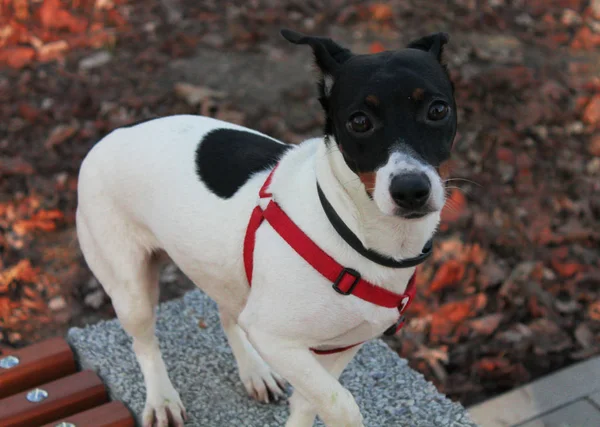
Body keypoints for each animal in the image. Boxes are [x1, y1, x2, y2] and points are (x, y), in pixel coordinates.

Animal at [77, 29, 458, 427]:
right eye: (359, 121)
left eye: (438, 110)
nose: (410, 190)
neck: (351, 231)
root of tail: (114, 133)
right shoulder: (275, 338)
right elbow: (340, 404)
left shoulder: (342, 344)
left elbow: (308, 402)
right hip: (129, 287)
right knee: (144, 342)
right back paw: (162, 399)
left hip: (226, 273)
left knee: (229, 316)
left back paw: (254, 372)